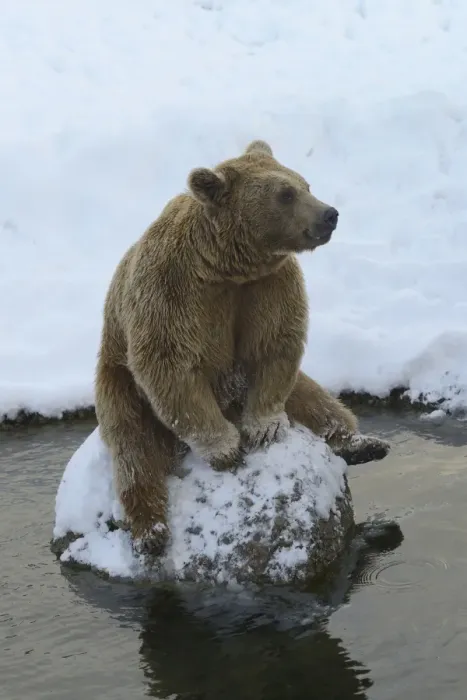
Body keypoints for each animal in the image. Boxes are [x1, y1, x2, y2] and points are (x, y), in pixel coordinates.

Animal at [95, 139, 389, 555]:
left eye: (306, 184)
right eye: (285, 193)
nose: (329, 214)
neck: (224, 266)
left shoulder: (268, 285)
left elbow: (274, 347)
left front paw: (265, 429)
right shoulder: (173, 289)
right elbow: (170, 366)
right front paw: (226, 448)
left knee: (313, 396)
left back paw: (363, 443)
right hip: (118, 381)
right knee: (134, 450)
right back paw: (150, 530)